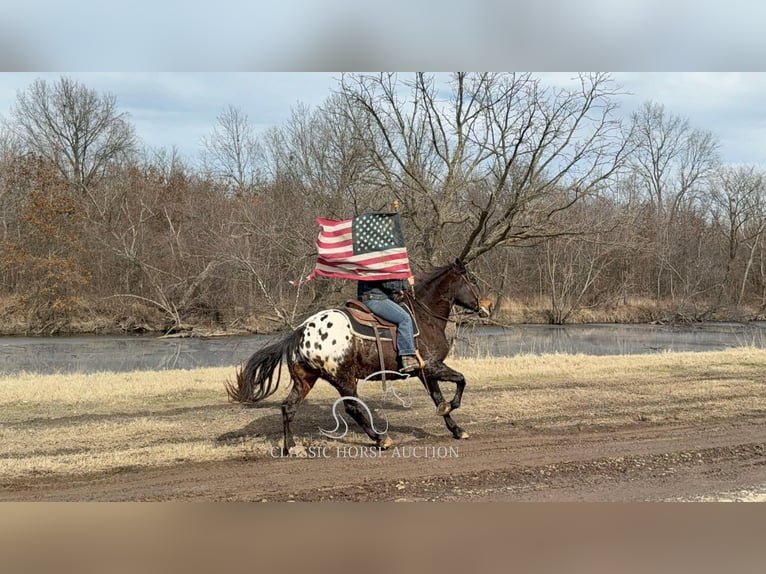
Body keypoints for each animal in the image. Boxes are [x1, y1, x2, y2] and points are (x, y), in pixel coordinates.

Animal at [225, 260, 496, 454]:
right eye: (472, 280)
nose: (488, 306)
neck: (424, 315)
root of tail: (300, 331)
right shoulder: (432, 366)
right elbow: (461, 380)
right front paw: (451, 408)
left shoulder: (424, 371)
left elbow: (438, 397)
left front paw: (456, 428)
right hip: (344, 378)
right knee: (352, 407)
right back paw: (380, 439)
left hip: (305, 380)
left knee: (288, 408)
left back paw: (291, 447)